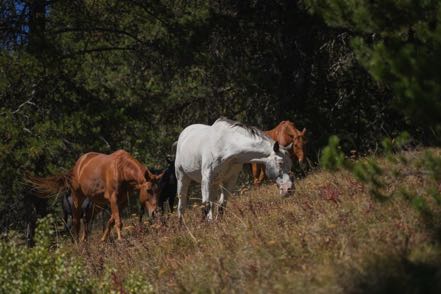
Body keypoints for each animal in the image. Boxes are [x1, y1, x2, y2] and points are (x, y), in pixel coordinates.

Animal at [28, 149, 162, 241]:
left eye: (157, 190)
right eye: (149, 190)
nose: (155, 212)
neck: (121, 169)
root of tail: (77, 165)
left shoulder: (122, 201)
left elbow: (111, 220)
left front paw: (103, 240)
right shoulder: (114, 199)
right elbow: (118, 221)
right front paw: (120, 239)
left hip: (97, 203)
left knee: (87, 220)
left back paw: (84, 240)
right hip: (77, 197)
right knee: (76, 221)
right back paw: (77, 242)